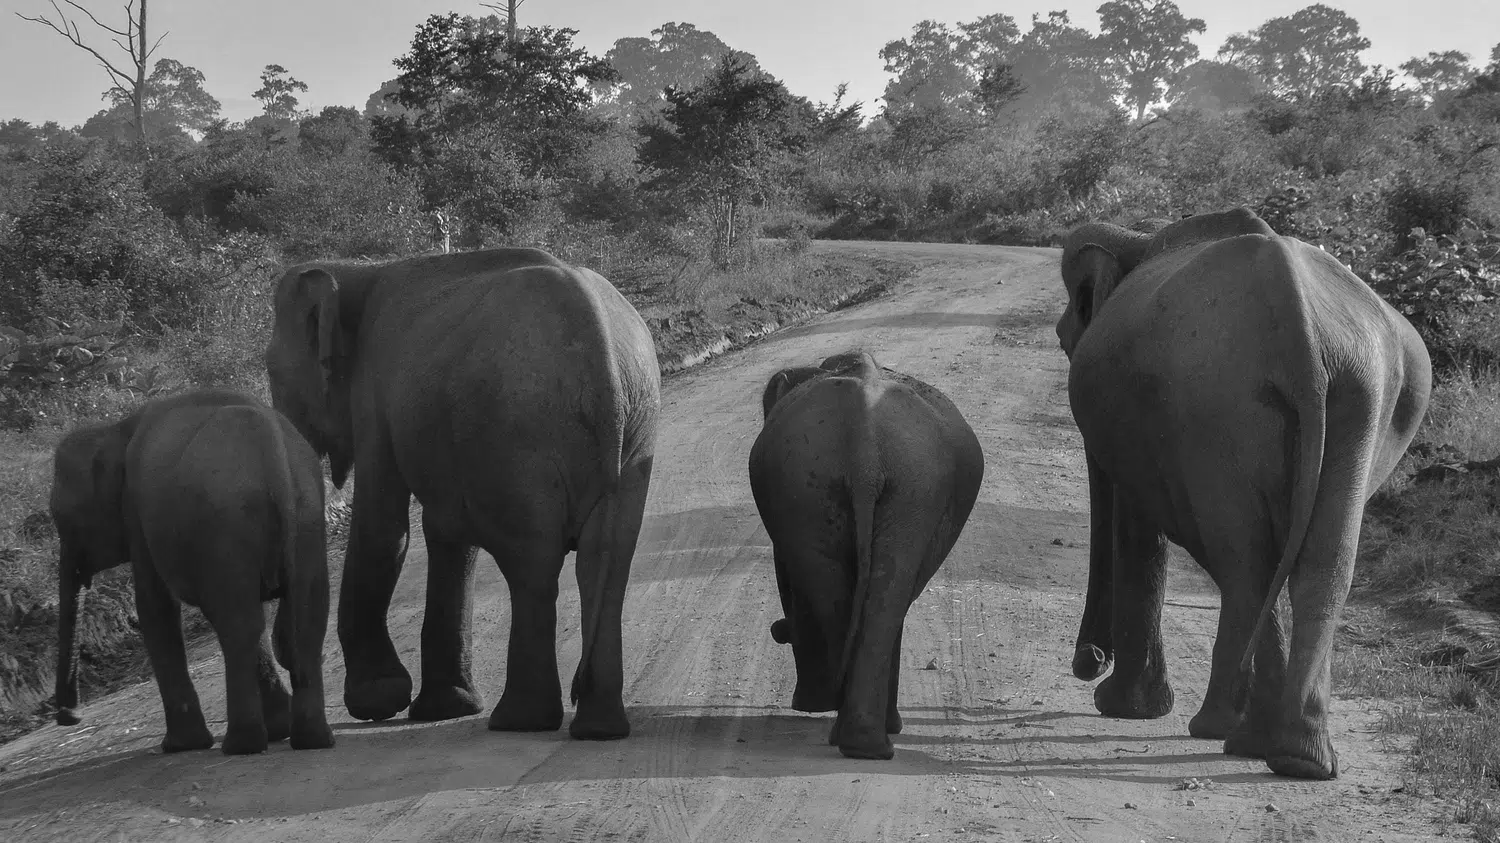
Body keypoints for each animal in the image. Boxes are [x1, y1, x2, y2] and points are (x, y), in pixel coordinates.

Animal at [51, 388, 334, 755]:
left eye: (61, 518)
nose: (68, 716)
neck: (113, 429)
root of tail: (272, 453)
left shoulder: (137, 514)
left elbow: (155, 608)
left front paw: (179, 746)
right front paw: (277, 729)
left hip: (224, 526)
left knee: (238, 625)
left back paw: (241, 745)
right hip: (306, 516)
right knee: (303, 620)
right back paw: (310, 739)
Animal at [263, 246, 660, 740]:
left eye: (271, 372)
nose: (286, 650)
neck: (357, 272)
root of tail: (602, 352)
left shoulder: (373, 392)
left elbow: (383, 527)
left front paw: (379, 699)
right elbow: (443, 529)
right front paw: (442, 706)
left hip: (516, 431)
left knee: (533, 562)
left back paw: (518, 722)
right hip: (634, 428)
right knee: (606, 557)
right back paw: (598, 727)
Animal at [749, 350, 984, 760]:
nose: (778, 631)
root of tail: (866, 448)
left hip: (855, 484)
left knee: (855, 591)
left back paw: (857, 737)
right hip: (864, 484)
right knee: (874, 592)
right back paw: (863, 740)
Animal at [1055, 206, 1432, 780]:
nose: (1089, 661)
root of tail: (1301, 330)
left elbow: (1138, 531)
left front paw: (1124, 709)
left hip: (1215, 410)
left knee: (1247, 560)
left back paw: (1234, 734)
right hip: (1361, 396)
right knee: (1317, 563)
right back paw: (1296, 756)